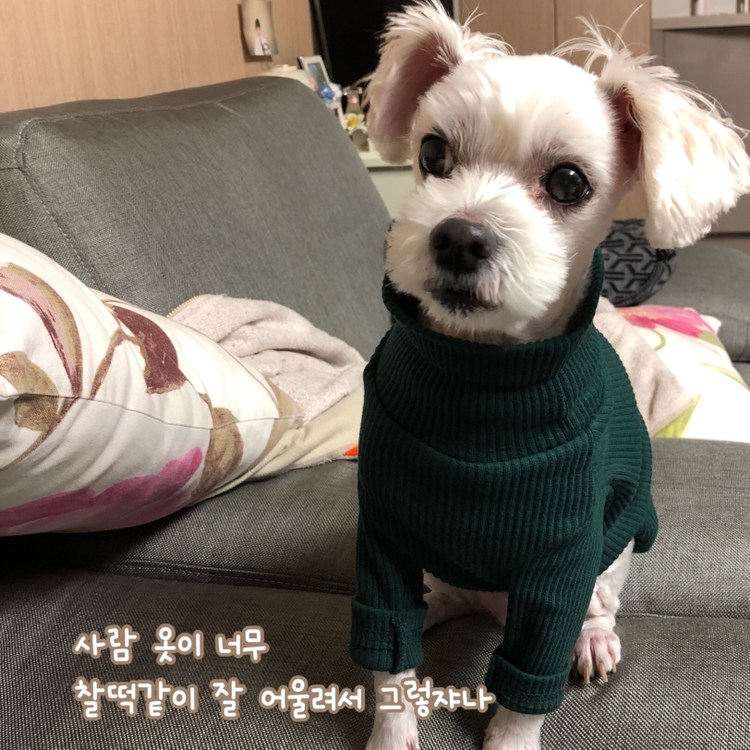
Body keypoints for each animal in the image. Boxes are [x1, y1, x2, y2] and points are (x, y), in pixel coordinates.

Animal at [350, 3, 750, 750]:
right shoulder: (383, 534)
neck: (480, 377)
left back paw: (591, 640)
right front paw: (392, 729)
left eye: (568, 182)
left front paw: (511, 736)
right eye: (433, 155)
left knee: (597, 605)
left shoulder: (561, 558)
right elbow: (386, 644)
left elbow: (528, 676)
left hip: (610, 556)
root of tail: (488, 605)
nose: (458, 236)